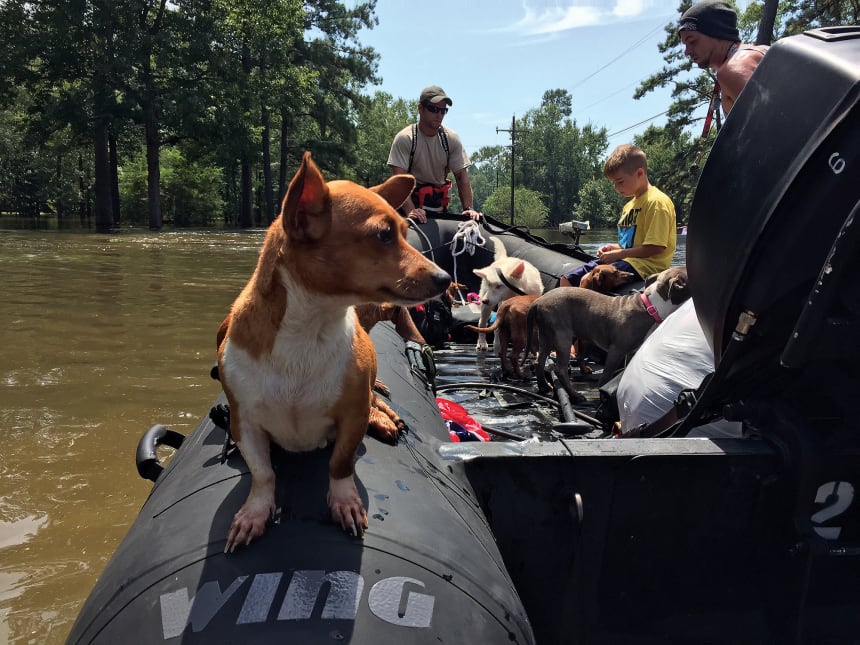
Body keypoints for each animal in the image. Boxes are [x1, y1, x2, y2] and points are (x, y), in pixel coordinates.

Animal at [215, 151, 450, 548]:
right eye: (384, 235)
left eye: (405, 232)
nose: (446, 278)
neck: (310, 327)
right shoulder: (244, 423)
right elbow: (263, 474)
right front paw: (254, 513)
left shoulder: (351, 416)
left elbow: (340, 464)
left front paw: (345, 503)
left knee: (374, 399)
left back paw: (384, 415)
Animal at [528, 264, 688, 394]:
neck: (650, 306)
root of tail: (538, 302)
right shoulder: (616, 351)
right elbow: (605, 377)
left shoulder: (631, 352)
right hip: (562, 336)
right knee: (560, 369)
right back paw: (575, 396)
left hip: (547, 334)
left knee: (539, 362)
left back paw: (544, 386)